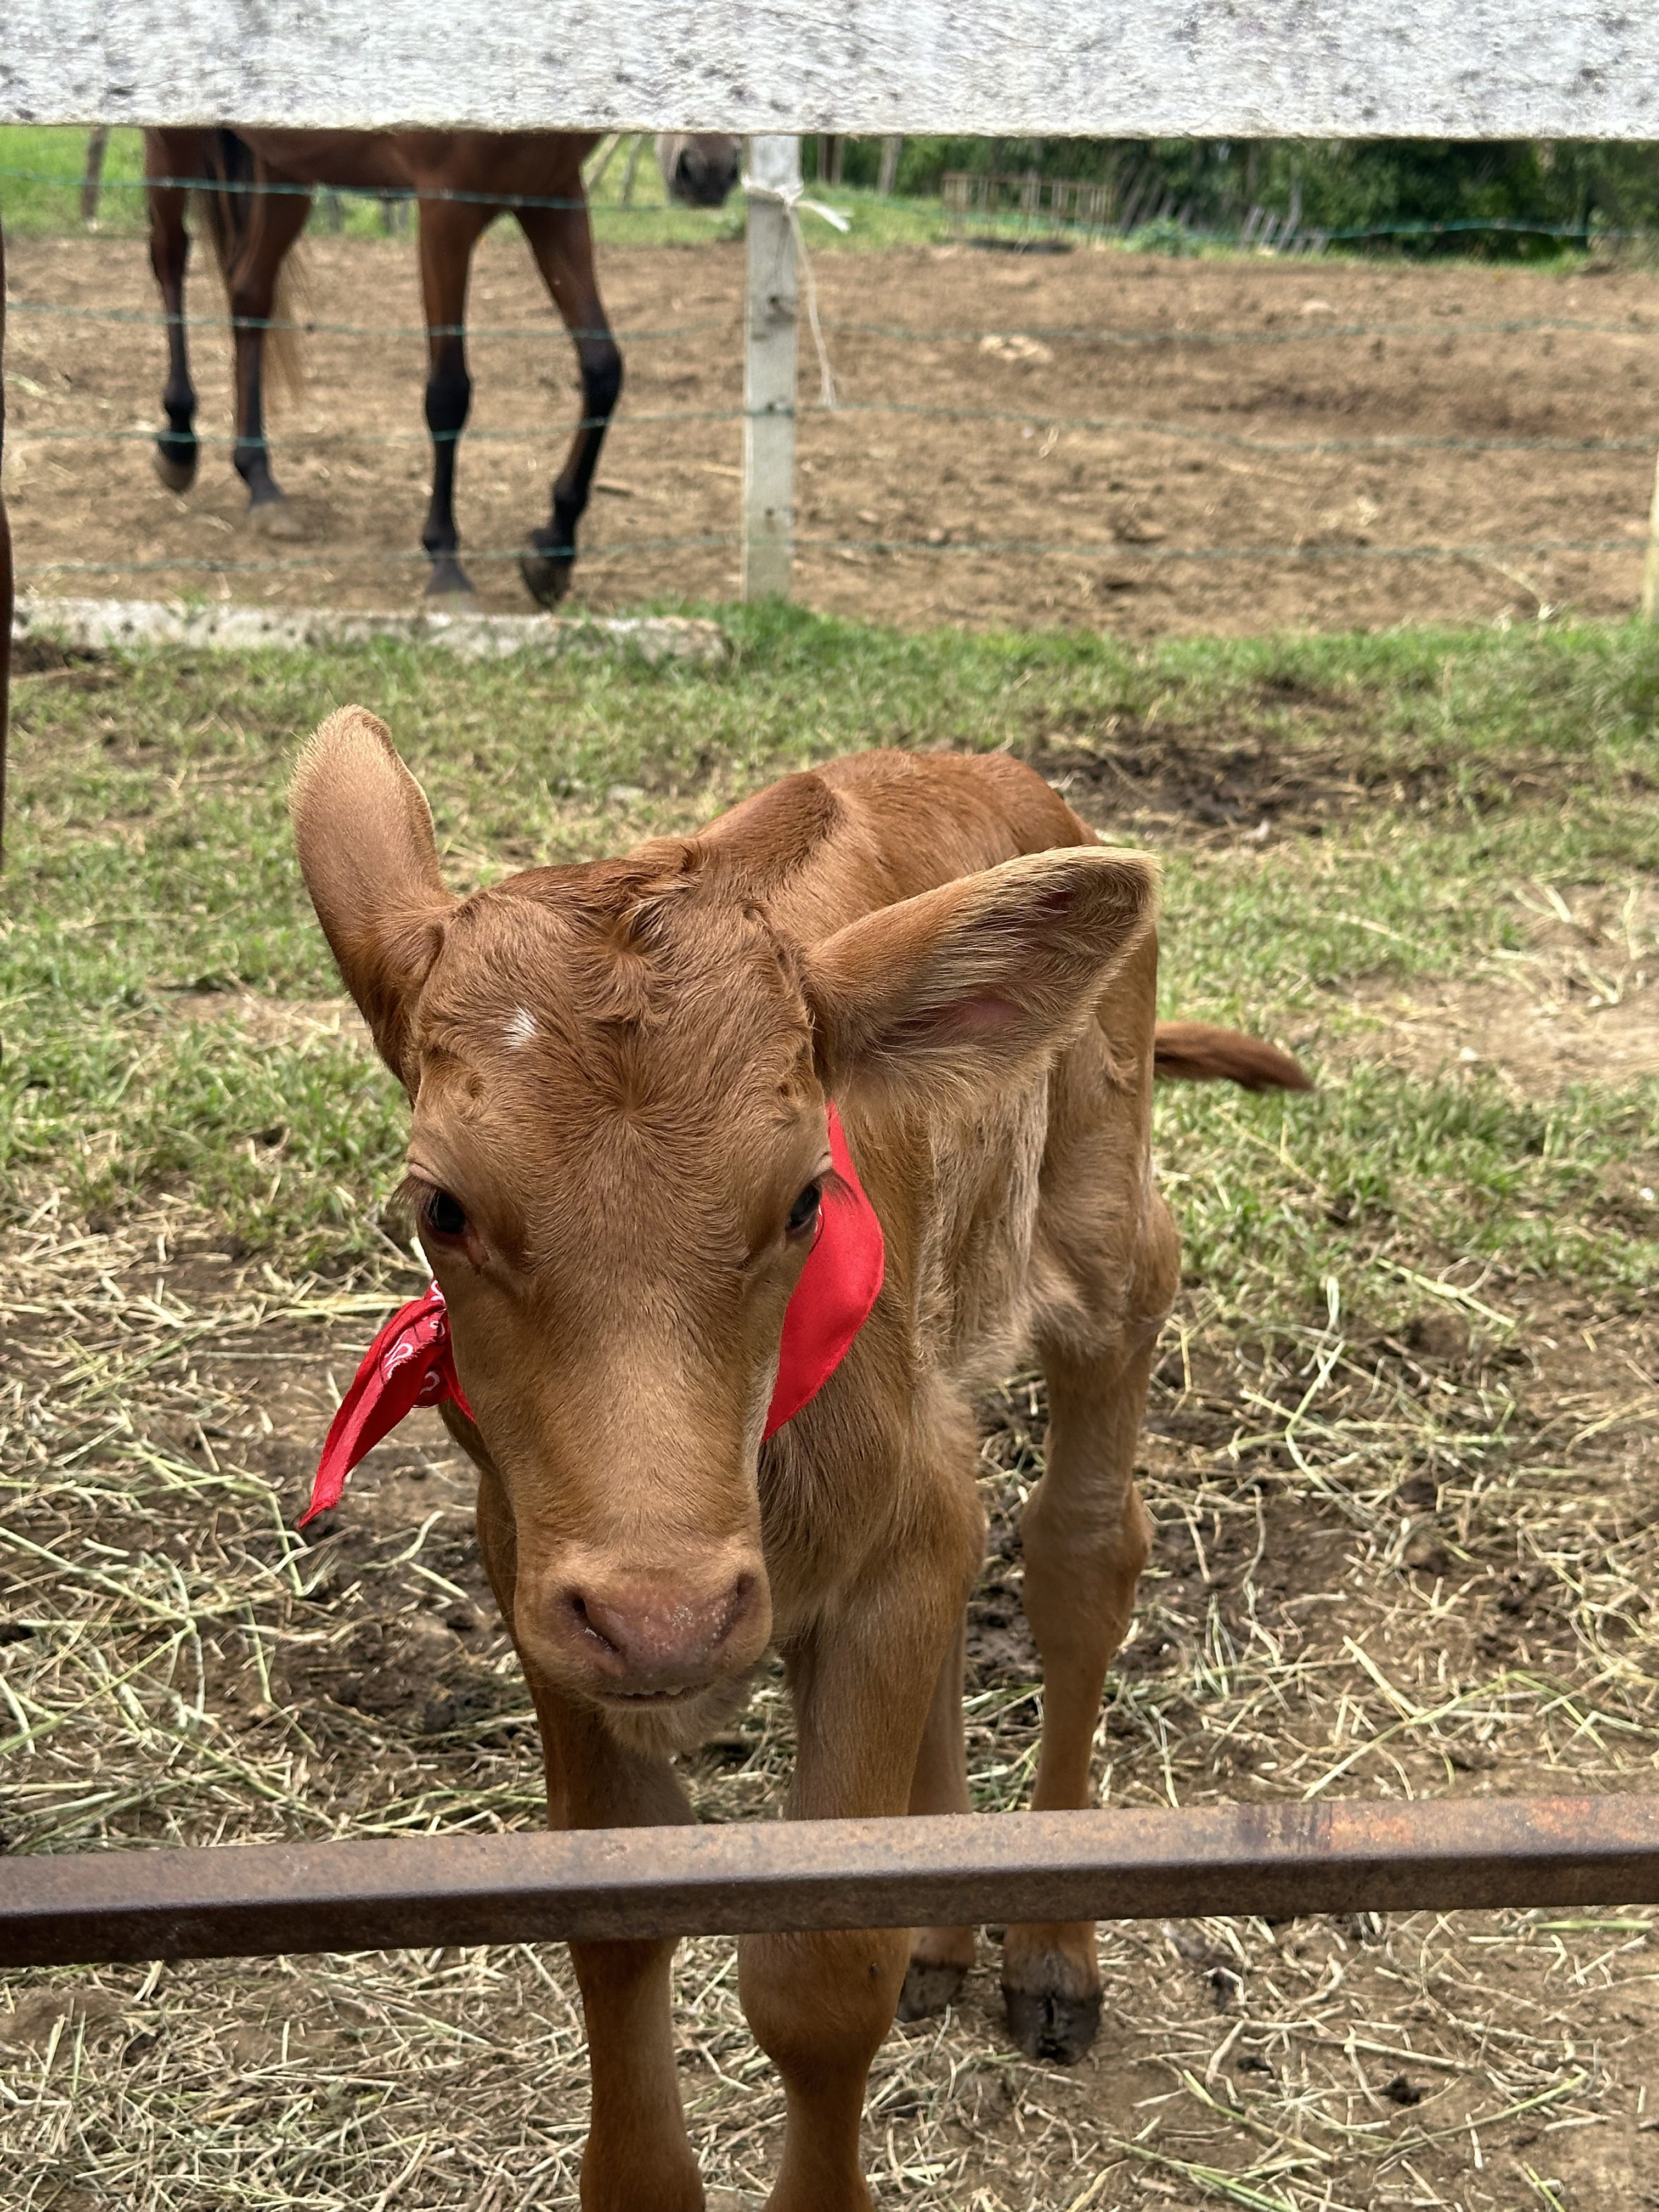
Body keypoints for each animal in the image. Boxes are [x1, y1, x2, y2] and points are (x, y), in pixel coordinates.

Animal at [291, 713, 1310, 2212]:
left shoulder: (860, 1570)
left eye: (804, 1200)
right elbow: (613, 1935)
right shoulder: (545, 1596)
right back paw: (950, 1934)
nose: (666, 1616)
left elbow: (822, 1977)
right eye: (442, 1207)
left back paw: (1051, 1946)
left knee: (1080, 1548)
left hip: (1106, 1225)